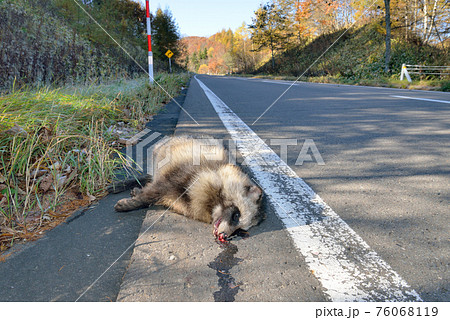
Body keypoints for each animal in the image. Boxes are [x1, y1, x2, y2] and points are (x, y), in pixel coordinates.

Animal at [114, 136, 266, 242]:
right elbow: (153, 191)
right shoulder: (183, 173)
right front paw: (134, 202)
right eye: (236, 216)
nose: (224, 235)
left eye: (239, 230)